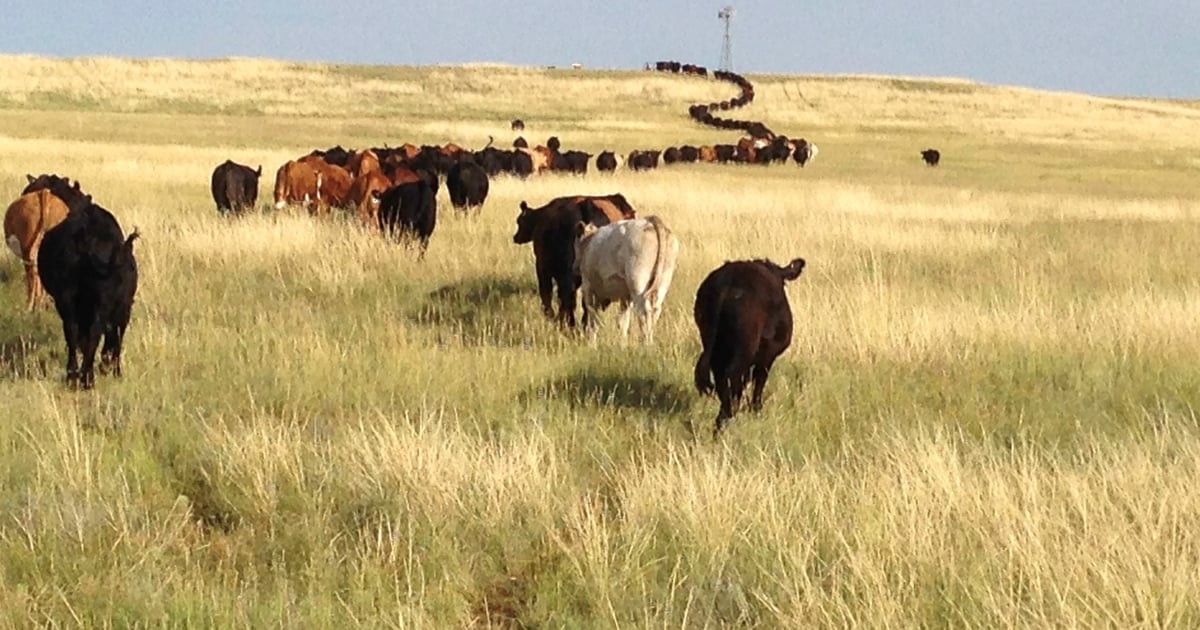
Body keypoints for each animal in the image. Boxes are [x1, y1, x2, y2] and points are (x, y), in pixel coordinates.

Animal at [37, 198, 139, 389]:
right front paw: (112, 369)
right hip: (105, 304)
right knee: (97, 332)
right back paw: (90, 376)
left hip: (67, 299)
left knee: (73, 331)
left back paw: (75, 376)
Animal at [512, 194, 637, 327]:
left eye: (519, 221)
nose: (515, 237)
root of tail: (586, 204)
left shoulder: (542, 268)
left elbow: (547, 293)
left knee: (567, 297)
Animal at [693, 257, 806, 437]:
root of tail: (729, 280)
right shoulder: (767, 356)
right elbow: (759, 382)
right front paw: (756, 410)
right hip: (744, 348)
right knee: (733, 378)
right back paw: (726, 419)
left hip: (714, 345)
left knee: (722, 379)